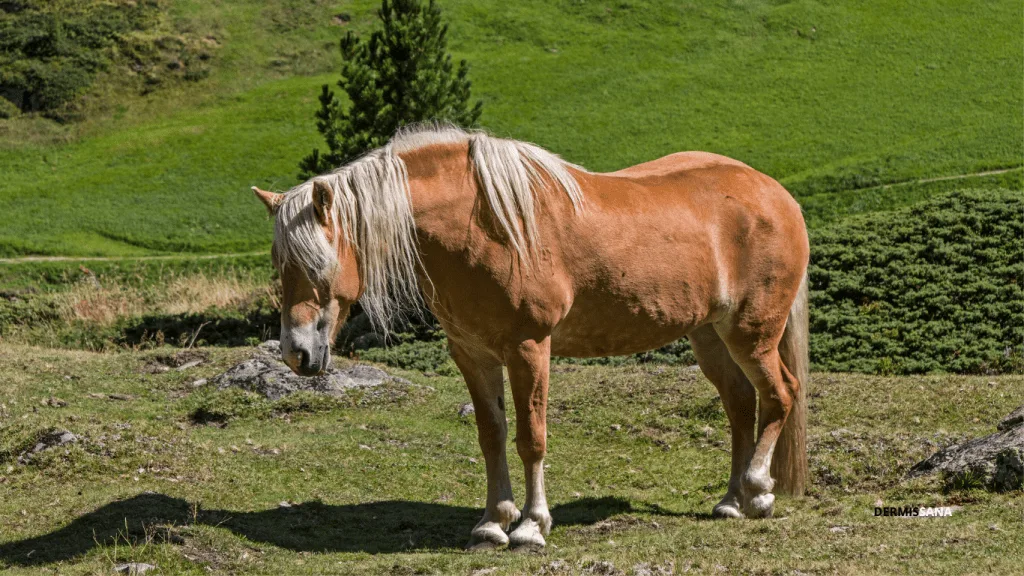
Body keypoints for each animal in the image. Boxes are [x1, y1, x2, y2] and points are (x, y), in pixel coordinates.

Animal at [251, 124, 809, 551]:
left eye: (319, 263)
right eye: (279, 264)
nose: (297, 353)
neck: (483, 227)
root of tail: (776, 195)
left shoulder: (529, 348)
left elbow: (531, 437)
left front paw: (530, 527)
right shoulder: (473, 354)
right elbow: (492, 435)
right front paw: (492, 523)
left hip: (751, 333)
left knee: (780, 394)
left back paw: (758, 491)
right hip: (710, 336)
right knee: (741, 404)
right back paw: (731, 501)